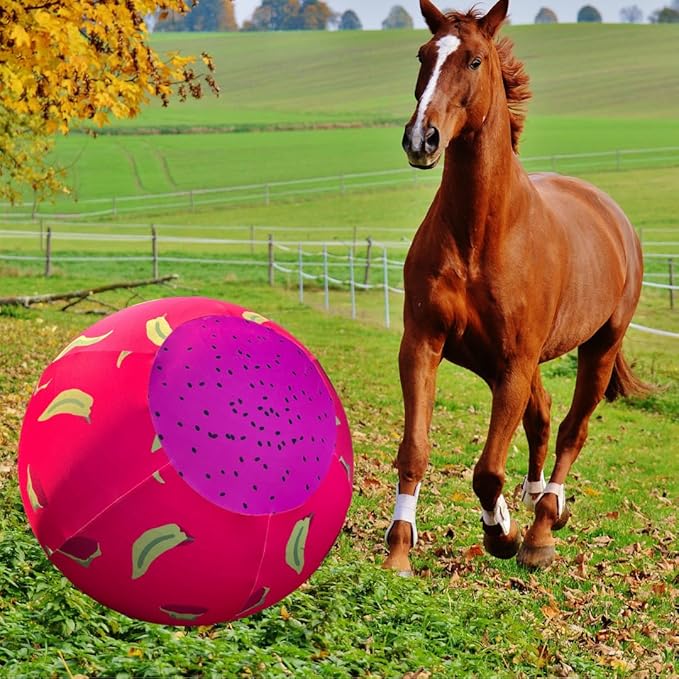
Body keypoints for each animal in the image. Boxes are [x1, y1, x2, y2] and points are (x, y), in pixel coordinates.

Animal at [384, 0, 648, 573]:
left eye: (475, 60)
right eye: (423, 54)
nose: (421, 139)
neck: (480, 235)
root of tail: (613, 215)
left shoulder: (514, 363)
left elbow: (487, 470)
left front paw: (501, 533)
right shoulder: (424, 345)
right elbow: (415, 449)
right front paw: (398, 550)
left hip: (598, 347)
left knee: (571, 429)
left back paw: (543, 526)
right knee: (543, 418)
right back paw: (533, 501)